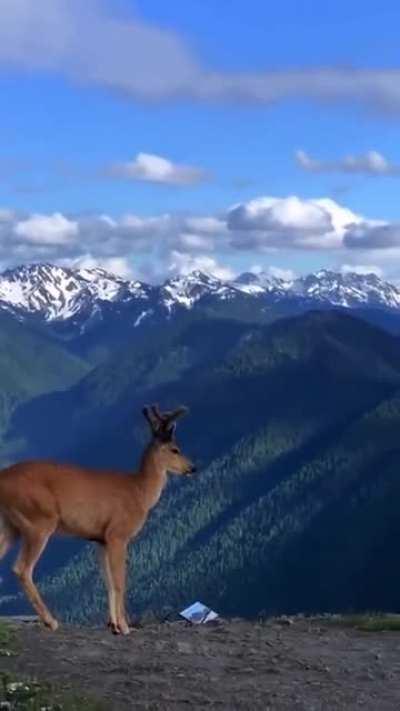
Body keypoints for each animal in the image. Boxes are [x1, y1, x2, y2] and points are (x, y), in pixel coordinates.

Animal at [0, 406, 195, 636]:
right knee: (22, 569)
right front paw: (125, 627)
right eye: (175, 449)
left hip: (10, 526)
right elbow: (120, 582)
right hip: (38, 521)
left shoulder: (100, 539)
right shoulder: (118, 534)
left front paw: (114, 626)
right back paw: (51, 621)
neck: (140, 492)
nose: (193, 468)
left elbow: (108, 582)